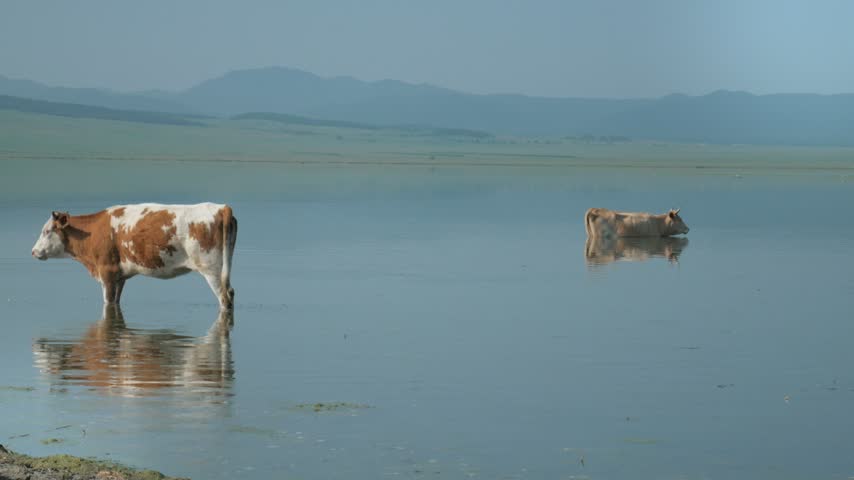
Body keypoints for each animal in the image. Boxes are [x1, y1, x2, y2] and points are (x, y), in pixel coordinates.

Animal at [31, 203, 237, 309]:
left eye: (47, 231)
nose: (33, 251)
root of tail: (222, 208)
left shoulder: (107, 272)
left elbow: (107, 302)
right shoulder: (120, 276)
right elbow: (115, 303)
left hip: (211, 270)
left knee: (224, 298)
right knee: (231, 294)